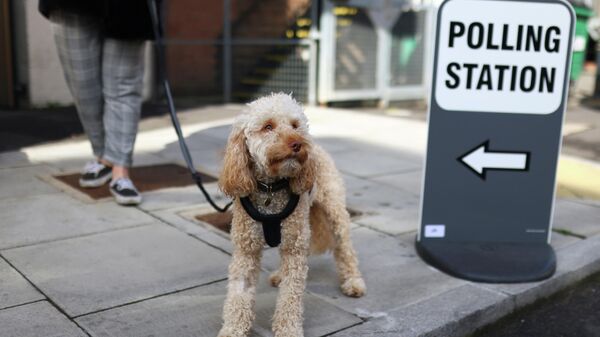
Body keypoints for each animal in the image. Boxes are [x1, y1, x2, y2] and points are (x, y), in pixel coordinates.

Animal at [218, 92, 364, 336]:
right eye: (268, 126)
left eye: (295, 125)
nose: (298, 143)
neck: (271, 188)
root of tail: (318, 147)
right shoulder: (246, 251)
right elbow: (239, 293)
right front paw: (233, 329)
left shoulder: (294, 250)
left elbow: (290, 297)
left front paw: (288, 329)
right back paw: (279, 275)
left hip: (333, 212)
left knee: (345, 249)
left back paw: (353, 281)